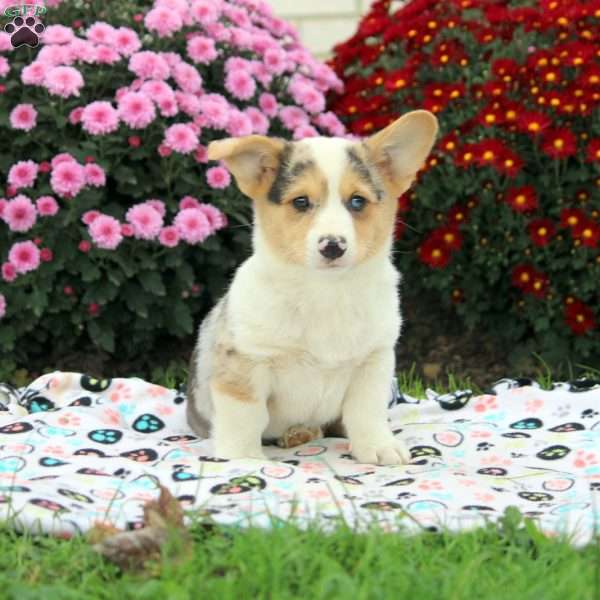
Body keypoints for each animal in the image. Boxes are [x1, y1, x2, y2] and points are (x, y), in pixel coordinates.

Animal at [185, 110, 438, 466]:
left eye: (357, 201)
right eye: (301, 202)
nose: (333, 246)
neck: (325, 290)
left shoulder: (373, 361)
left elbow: (367, 411)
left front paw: (378, 446)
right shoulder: (245, 361)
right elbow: (245, 416)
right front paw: (243, 458)